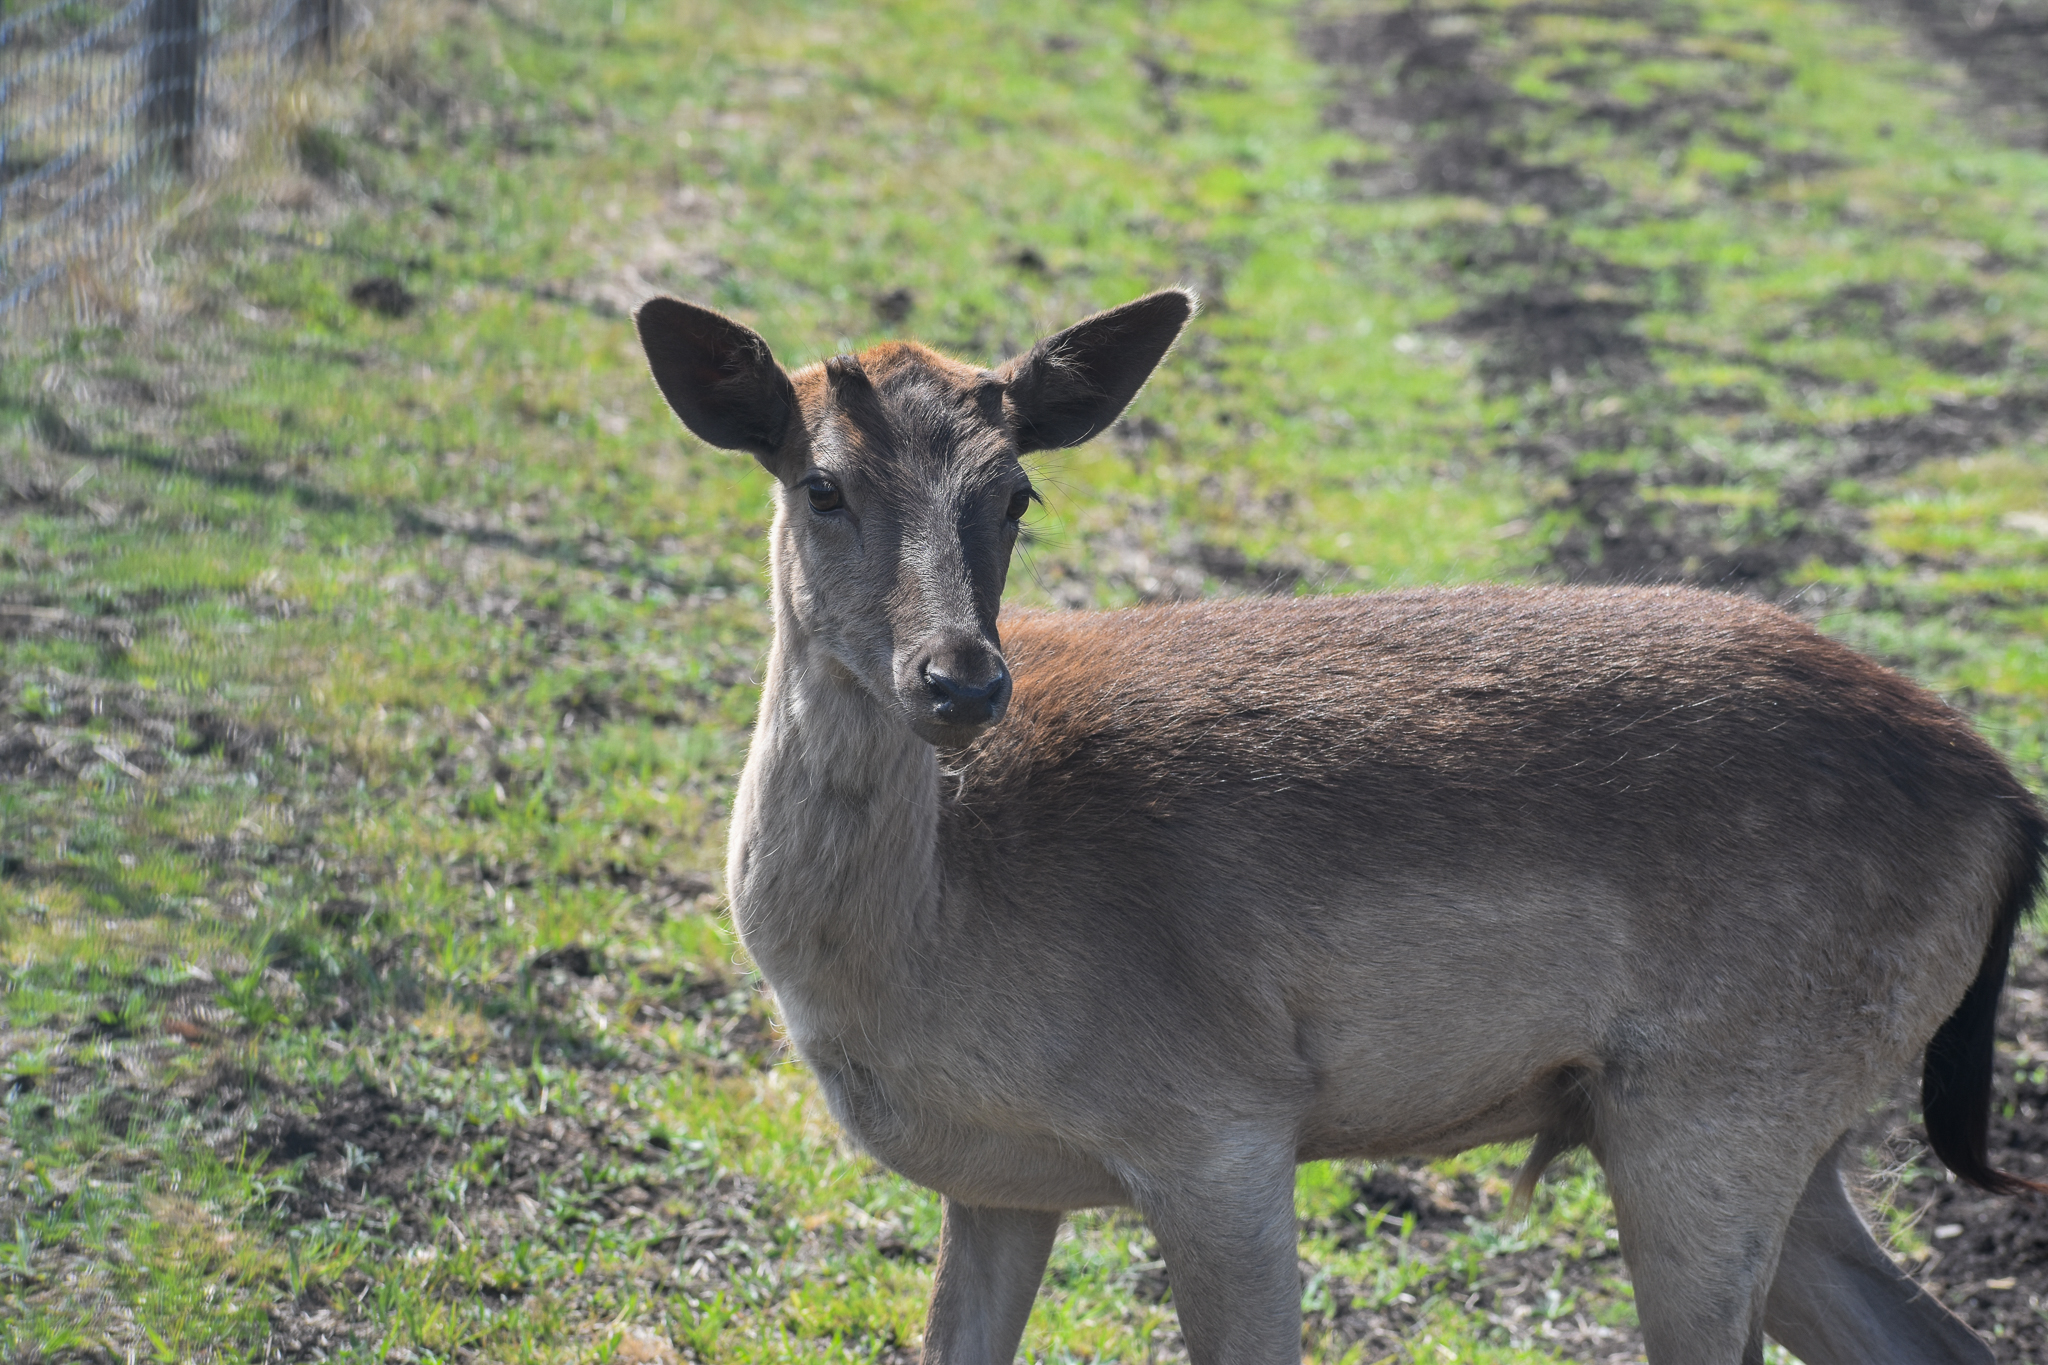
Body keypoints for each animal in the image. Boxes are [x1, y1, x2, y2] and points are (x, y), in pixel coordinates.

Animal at [632, 286, 2045, 1365]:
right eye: (819, 485)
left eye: (1017, 494)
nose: (963, 682)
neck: (933, 945)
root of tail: (2006, 805)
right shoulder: (994, 1183)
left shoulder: (1219, 1119)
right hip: (1764, 1127)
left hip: (1720, 1104)